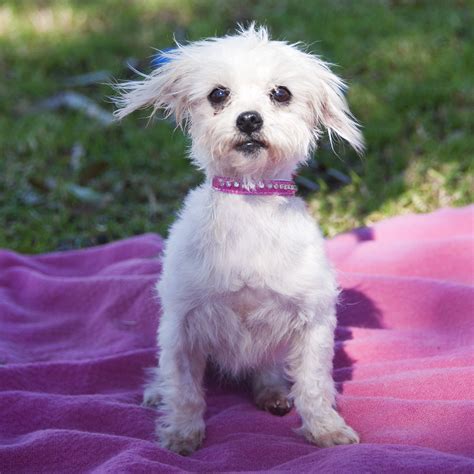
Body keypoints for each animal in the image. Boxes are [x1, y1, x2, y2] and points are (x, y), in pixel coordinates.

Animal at [115, 24, 362, 454]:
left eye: (281, 93)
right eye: (218, 94)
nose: (248, 120)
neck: (250, 201)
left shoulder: (313, 321)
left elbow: (314, 386)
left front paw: (325, 429)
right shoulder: (182, 325)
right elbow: (185, 390)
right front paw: (182, 434)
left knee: (267, 370)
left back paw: (272, 393)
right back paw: (156, 392)